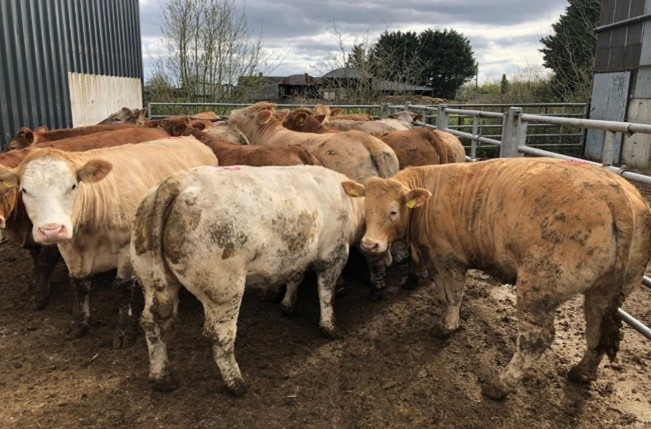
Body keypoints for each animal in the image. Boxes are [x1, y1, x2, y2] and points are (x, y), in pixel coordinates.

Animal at [130, 165, 367, 395]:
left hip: (150, 277)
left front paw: (288, 305)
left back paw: (162, 378)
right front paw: (330, 327)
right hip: (223, 287)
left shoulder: (296, 255)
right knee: (219, 335)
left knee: (151, 324)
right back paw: (236, 383)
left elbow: (296, 277)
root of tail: (175, 181)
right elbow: (326, 292)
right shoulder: (334, 252)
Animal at [342, 157, 651, 400]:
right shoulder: (434, 260)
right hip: (606, 289)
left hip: (539, 285)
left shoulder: (450, 259)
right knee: (596, 329)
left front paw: (448, 326)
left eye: (393, 211)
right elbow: (443, 293)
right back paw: (582, 372)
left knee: (536, 339)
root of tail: (614, 191)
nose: (369, 244)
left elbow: (453, 294)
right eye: (364, 211)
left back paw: (501, 385)